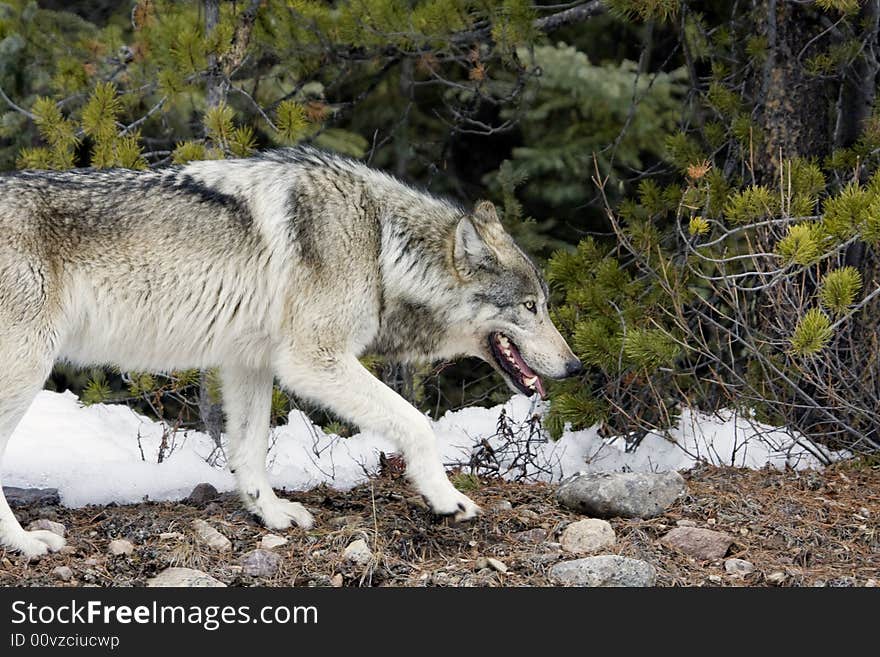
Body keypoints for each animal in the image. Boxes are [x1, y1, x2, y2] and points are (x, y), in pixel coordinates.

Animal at [0, 146, 584, 556]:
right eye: (531, 307)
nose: (576, 366)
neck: (380, 246)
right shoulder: (311, 359)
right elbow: (416, 423)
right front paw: (447, 500)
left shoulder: (249, 361)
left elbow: (249, 449)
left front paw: (273, 516)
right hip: (27, 369)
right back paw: (26, 544)